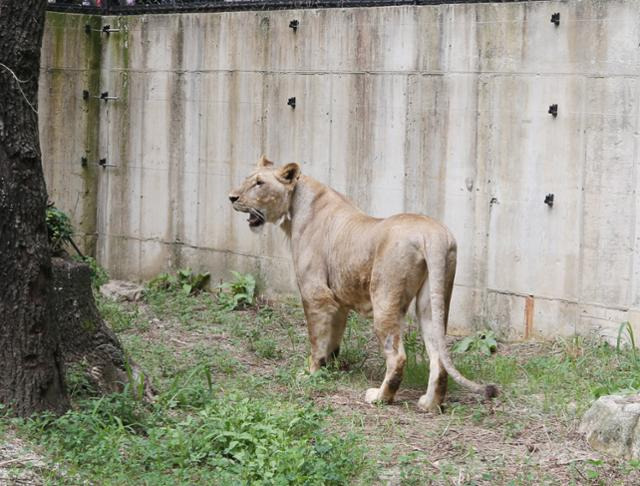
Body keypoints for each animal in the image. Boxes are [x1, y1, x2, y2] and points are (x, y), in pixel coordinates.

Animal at [228, 156, 498, 410]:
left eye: (259, 183)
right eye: (248, 178)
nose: (231, 197)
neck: (295, 208)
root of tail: (433, 235)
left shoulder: (315, 293)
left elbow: (316, 340)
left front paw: (310, 373)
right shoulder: (336, 301)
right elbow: (333, 338)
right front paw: (330, 368)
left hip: (384, 298)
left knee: (397, 356)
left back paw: (380, 397)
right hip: (432, 302)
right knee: (438, 356)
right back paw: (429, 404)